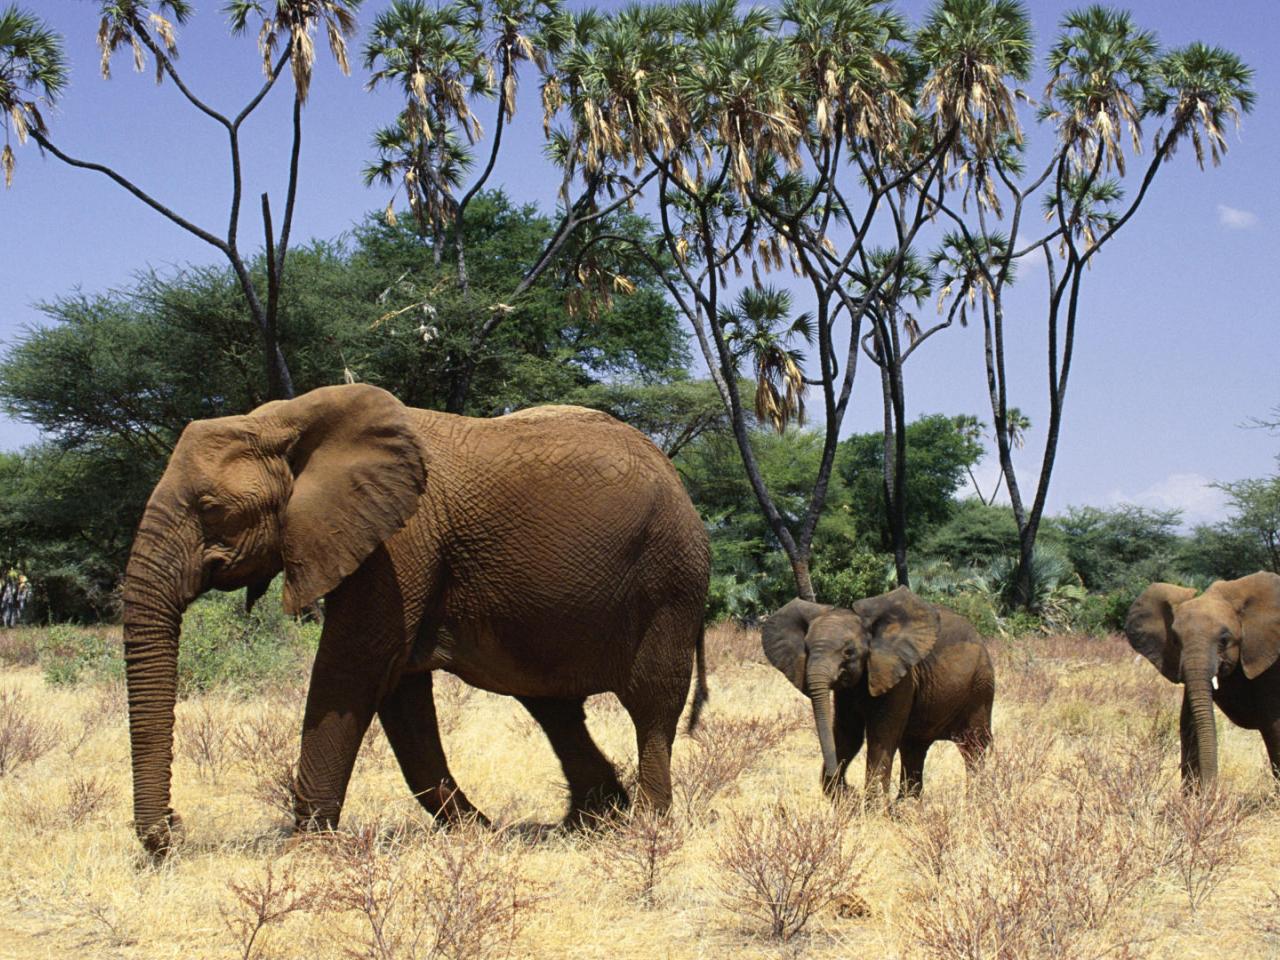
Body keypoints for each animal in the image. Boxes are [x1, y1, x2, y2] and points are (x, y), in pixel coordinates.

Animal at [120, 384, 711, 855]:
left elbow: (354, 667)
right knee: (552, 706)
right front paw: (476, 835)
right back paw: (590, 821)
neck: (283, 420)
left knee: (651, 703)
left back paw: (646, 827)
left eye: (211, 508)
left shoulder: (400, 540)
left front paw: (305, 851)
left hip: (671, 578)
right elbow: (400, 693)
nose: (172, 829)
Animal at [762, 586, 993, 803]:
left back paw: (975, 802)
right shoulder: (848, 691)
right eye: (807, 649)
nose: (849, 788)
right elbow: (848, 735)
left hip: (981, 687)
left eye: (849, 652)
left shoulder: (899, 677)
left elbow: (881, 736)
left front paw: (871, 807)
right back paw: (906, 806)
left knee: (973, 747)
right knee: (914, 748)